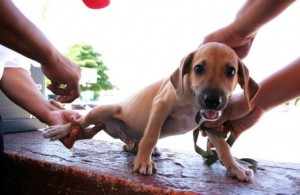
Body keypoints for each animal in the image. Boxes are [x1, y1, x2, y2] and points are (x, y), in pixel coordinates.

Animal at [42, 42, 260, 181]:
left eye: (231, 71)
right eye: (198, 69)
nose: (213, 101)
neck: (192, 102)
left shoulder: (209, 124)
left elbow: (224, 148)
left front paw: (236, 168)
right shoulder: (161, 105)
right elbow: (151, 135)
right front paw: (143, 163)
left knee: (125, 143)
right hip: (103, 109)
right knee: (79, 123)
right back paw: (61, 130)